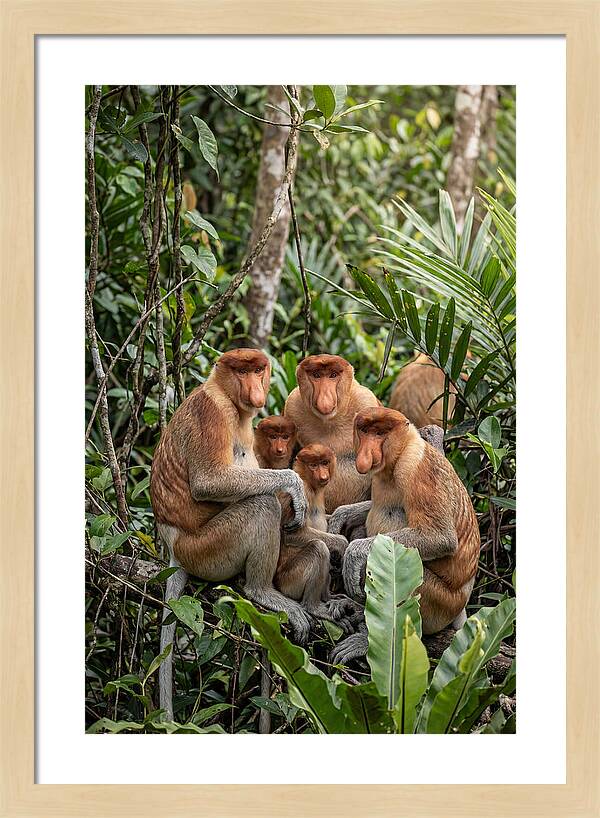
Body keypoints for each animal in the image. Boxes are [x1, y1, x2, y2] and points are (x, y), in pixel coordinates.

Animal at [150, 348, 310, 720]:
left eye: (258, 370)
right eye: (241, 371)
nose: (256, 390)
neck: (225, 394)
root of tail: (173, 547)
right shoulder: (213, 413)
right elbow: (210, 481)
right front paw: (294, 486)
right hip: (207, 549)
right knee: (261, 505)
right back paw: (261, 591)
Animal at [284, 354, 379, 515]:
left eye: (333, 375)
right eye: (316, 375)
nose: (325, 398)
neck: (329, 421)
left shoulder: (366, 401)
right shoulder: (292, 406)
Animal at [329, 408, 480, 665]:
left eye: (380, 433)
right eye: (364, 431)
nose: (366, 453)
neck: (400, 453)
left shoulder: (417, 469)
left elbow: (440, 537)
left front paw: (354, 553)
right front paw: (340, 516)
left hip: (439, 603)